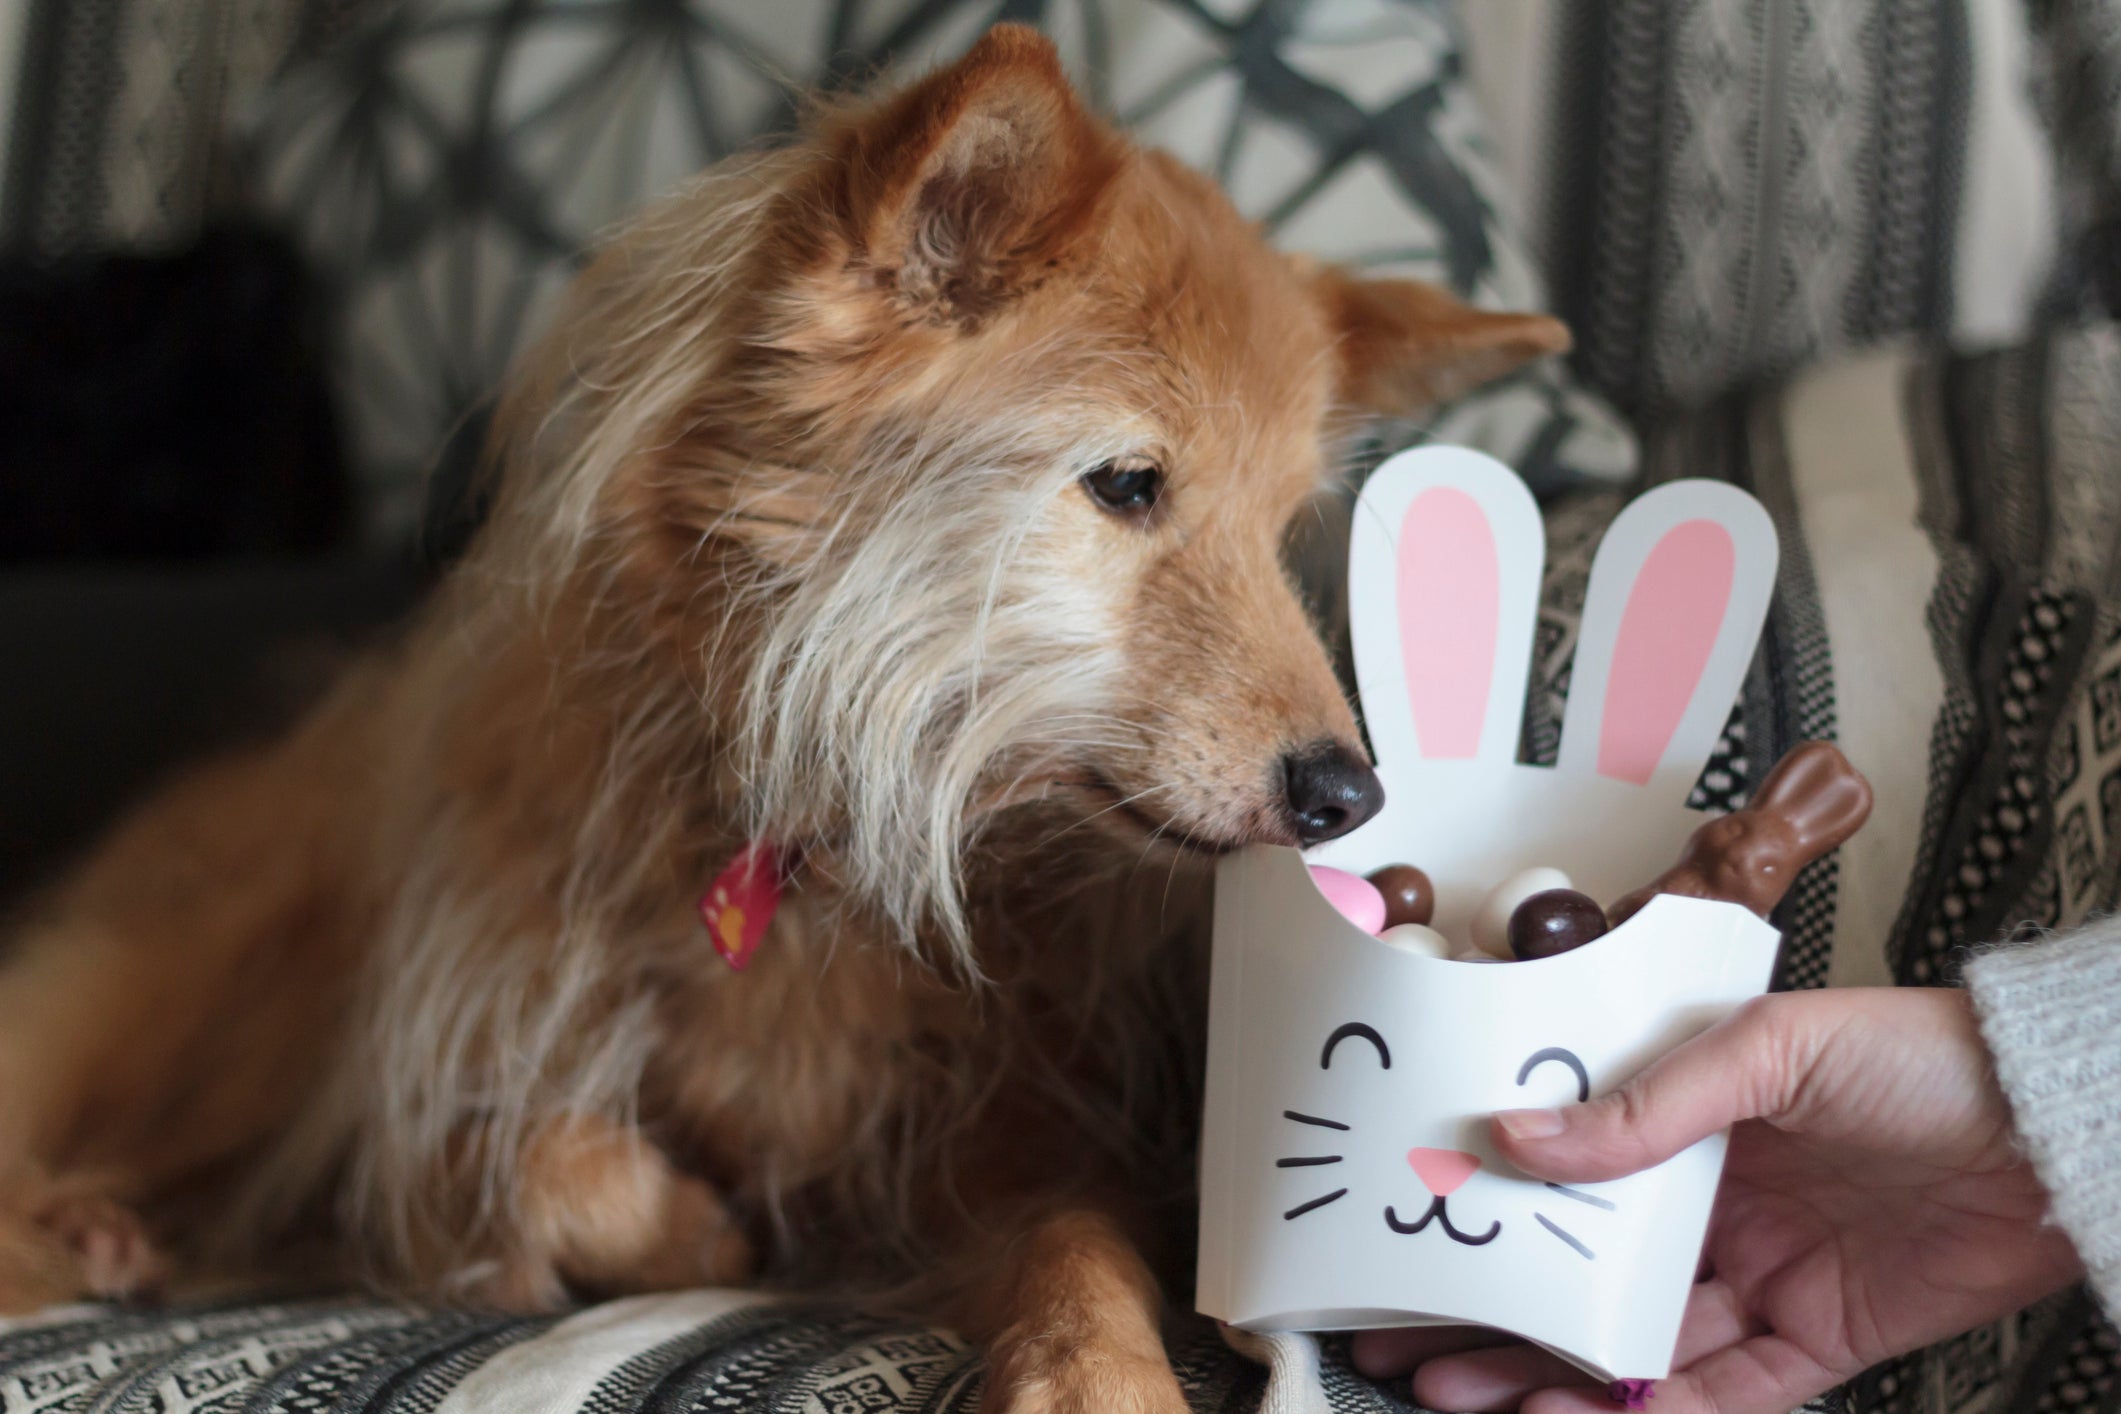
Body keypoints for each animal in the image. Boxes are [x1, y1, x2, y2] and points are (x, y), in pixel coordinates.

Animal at [0, 27, 1561, 1407]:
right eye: (1127, 483)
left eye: (1283, 526)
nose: (1347, 794)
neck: (814, 835)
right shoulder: (393, 1120)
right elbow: (548, 1157)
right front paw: (697, 1234)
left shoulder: (1017, 1136)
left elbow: (1077, 1248)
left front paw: (1095, 1371)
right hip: (141, 987)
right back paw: (89, 1228)